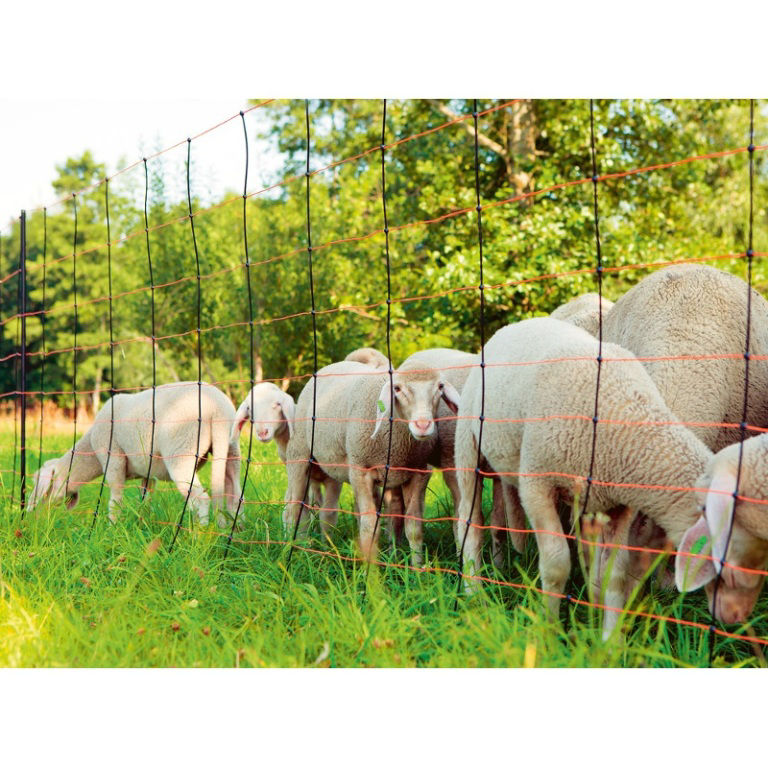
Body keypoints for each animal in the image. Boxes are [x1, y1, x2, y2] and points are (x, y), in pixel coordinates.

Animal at [28, 382, 242, 528]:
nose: (33, 516)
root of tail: (217, 409)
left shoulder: (112, 460)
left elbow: (115, 499)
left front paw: (112, 528)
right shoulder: (148, 472)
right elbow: (145, 500)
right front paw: (142, 523)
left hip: (182, 451)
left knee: (201, 499)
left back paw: (199, 534)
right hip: (231, 449)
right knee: (235, 496)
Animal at [284, 358, 460, 564]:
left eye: (440, 387)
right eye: (397, 388)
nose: (423, 425)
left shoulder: (419, 473)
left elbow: (413, 526)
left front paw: (417, 568)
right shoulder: (360, 471)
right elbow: (369, 526)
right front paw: (370, 569)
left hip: (331, 468)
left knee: (327, 513)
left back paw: (324, 550)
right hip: (299, 455)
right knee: (294, 509)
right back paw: (295, 551)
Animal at [452, 316, 712, 640]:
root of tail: (514, 326)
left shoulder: (619, 505)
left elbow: (613, 575)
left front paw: (609, 641)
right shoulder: (537, 483)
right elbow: (556, 565)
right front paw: (549, 633)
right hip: (467, 445)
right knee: (469, 521)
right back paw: (473, 590)